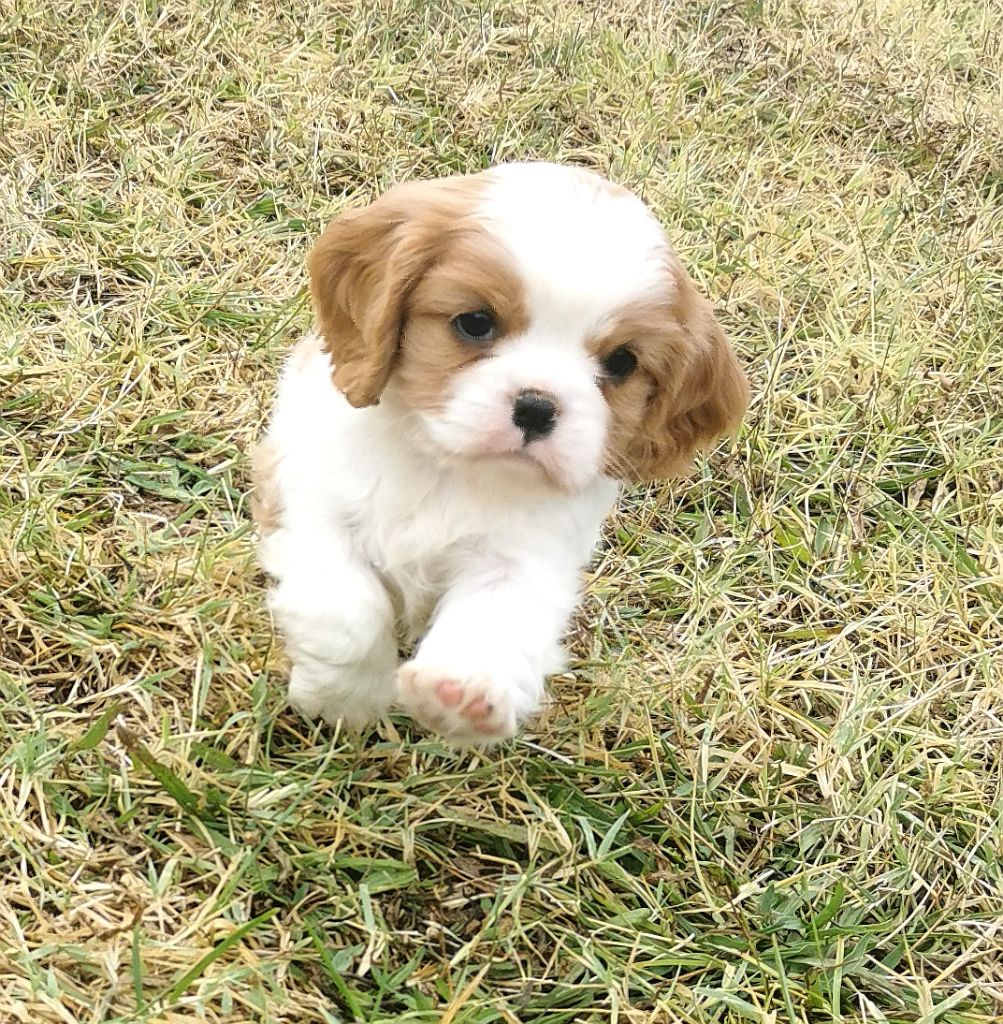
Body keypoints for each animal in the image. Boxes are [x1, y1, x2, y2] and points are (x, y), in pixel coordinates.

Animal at [252, 162, 748, 745]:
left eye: (622, 362)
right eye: (474, 322)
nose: (537, 406)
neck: (448, 468)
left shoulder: (523, 558)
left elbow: (498, 617)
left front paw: (463, 691)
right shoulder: (308, 499)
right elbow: (347, 611)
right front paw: (346, 700)